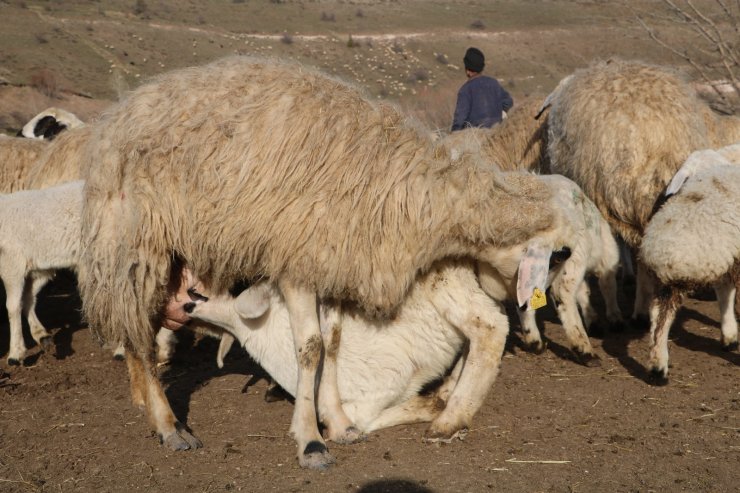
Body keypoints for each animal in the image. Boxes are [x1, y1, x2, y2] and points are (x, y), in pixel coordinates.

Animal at [76, 55, 560, 468]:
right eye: (542, 257)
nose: (525, 307)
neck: (410, 192)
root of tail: (122, 111)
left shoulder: (332, 263)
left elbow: (333, 341)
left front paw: (340, 423)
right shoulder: (297, 261)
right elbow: (309, 349)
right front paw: (310, 440)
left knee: (141, 328)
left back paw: (145, 398)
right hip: (134, 246)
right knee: (137, 333)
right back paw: (168, 424)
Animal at [636, 144, 740, 378]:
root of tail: (658, 251)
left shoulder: (727, 255)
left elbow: (725, 293)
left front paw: (729, 334)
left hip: (673, 278)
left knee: (658, 314)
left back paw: (657, 364)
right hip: (681, 273)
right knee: (664, 317)